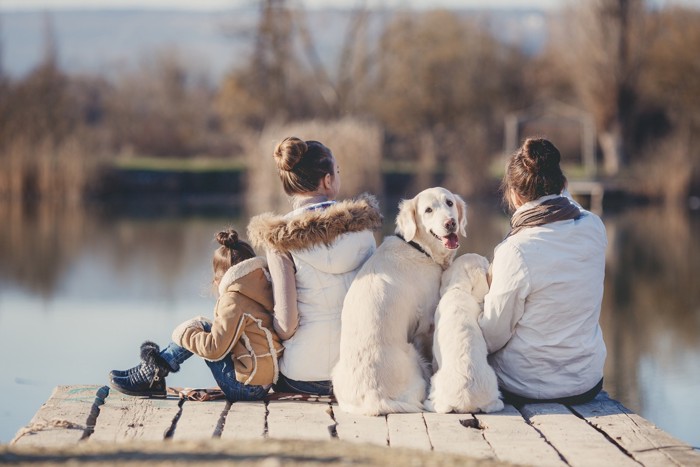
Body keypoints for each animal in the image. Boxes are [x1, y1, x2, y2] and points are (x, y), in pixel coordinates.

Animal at [332, 186, 464, 416]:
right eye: (428, 210)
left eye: (449, 202)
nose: (450, 223)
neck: (418, 247)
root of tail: (375, 399)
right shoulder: (426, 324)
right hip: (413, 356)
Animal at [422, 254, 504, 414]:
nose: (489, 259)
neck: (460, 290)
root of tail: (466, 403)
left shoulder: (434, 356)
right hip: (492, 382)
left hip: (437, 381)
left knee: (440, 406)